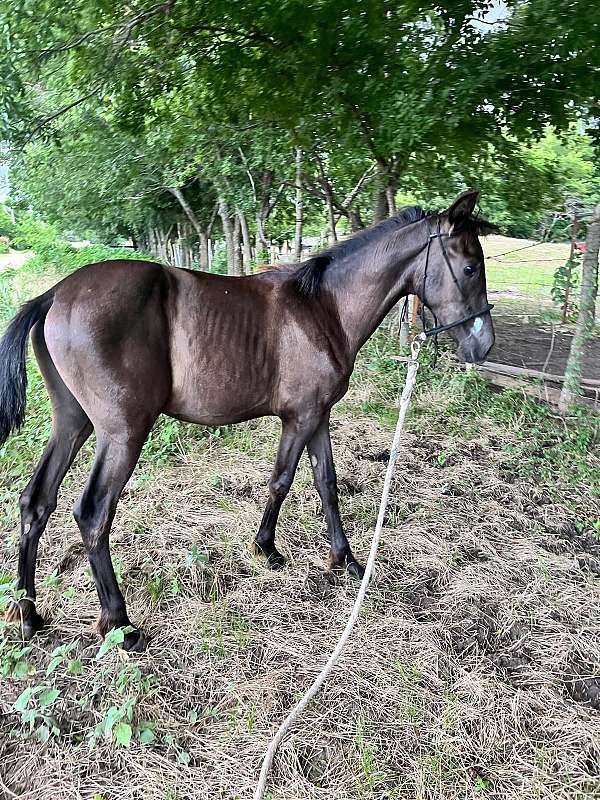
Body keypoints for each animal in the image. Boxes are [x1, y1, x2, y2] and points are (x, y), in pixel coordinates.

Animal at [0, 189, 495, 652]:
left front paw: (346, 560)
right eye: (471, 267)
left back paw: (27, 614)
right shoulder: (301, 417)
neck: (324, 308)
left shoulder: (318, 416)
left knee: (36, 502)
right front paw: (267, 547)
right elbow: (283, 479)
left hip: (72, 423)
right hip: (122, 433)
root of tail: (55, 295)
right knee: (93, 512)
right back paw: (119, 623)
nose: (483, 345)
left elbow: (326, 482)